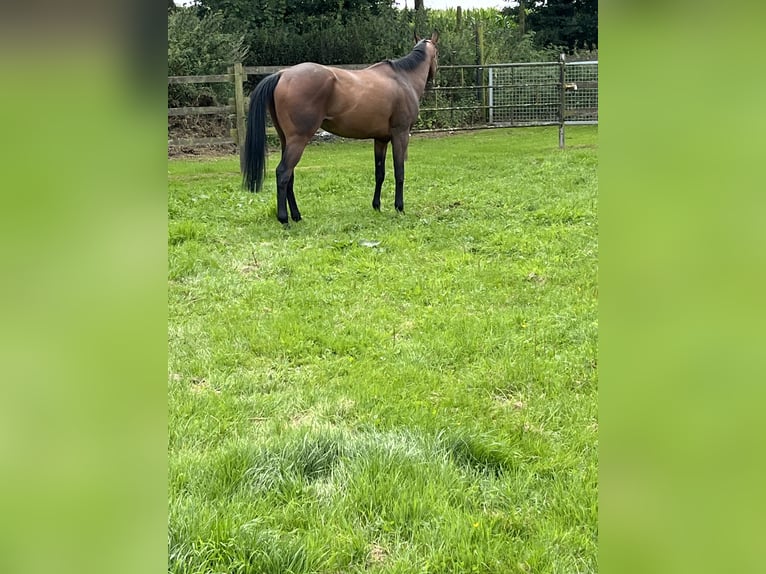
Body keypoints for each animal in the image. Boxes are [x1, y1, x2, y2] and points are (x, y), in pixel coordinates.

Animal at [243, 31, 440, 225]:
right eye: (437, 54)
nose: (433, 79)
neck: (402, 78)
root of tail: (283, 74)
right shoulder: (400, 134)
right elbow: (399, 172)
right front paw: (399, 207)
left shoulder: (381, 139)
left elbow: (380, 173)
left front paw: (376, 206)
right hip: (298, 140)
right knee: (283, 173)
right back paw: (284, 219)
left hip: (286, 140)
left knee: (290, 175)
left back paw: (297, 216)